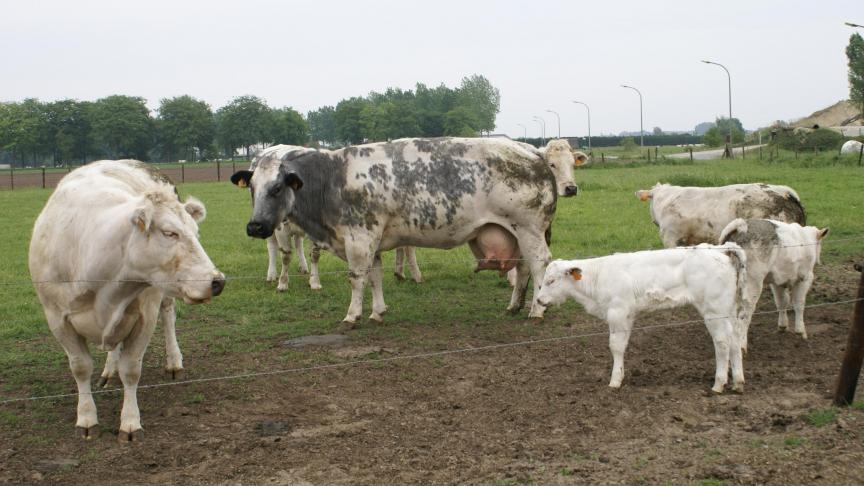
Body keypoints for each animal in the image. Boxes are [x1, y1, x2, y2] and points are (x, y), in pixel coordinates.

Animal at [30, 159, 224, 440]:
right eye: (169, 233)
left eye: (196, 232)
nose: (217, 281)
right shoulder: (57, 318)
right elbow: (80, 367)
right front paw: (86, 418)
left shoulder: (145, 316)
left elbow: (131, 370)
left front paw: (130, 422)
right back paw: (109, 371)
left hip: (162, 297)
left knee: (168, 316)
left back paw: (173, 362)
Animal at [233, 137, 564, 326]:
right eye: (252, 187)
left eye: (277, 188)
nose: (255, 226)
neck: (331, 179)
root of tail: (532, 153)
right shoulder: (372, 241)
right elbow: (375, 277)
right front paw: (377, 311)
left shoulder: (359, 237)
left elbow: (356, 278)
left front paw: (352, 315)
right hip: (514, 233)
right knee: (522, 269)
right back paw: (514, 306)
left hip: (529, 228)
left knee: (539, 265)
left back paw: (537, 310)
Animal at [536, 245, 744, 392]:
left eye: (551, 281)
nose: (539, 299)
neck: (597, 277)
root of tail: (720, 249)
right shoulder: (627, 315)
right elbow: (622, 345)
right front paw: (620, 375)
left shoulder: (617, 312)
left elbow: (615, 346)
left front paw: (614, 381)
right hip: (729, 311)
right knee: (735, 339)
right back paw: (738, 383)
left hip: (714, 310)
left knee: (722, 342)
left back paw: (719, 384)